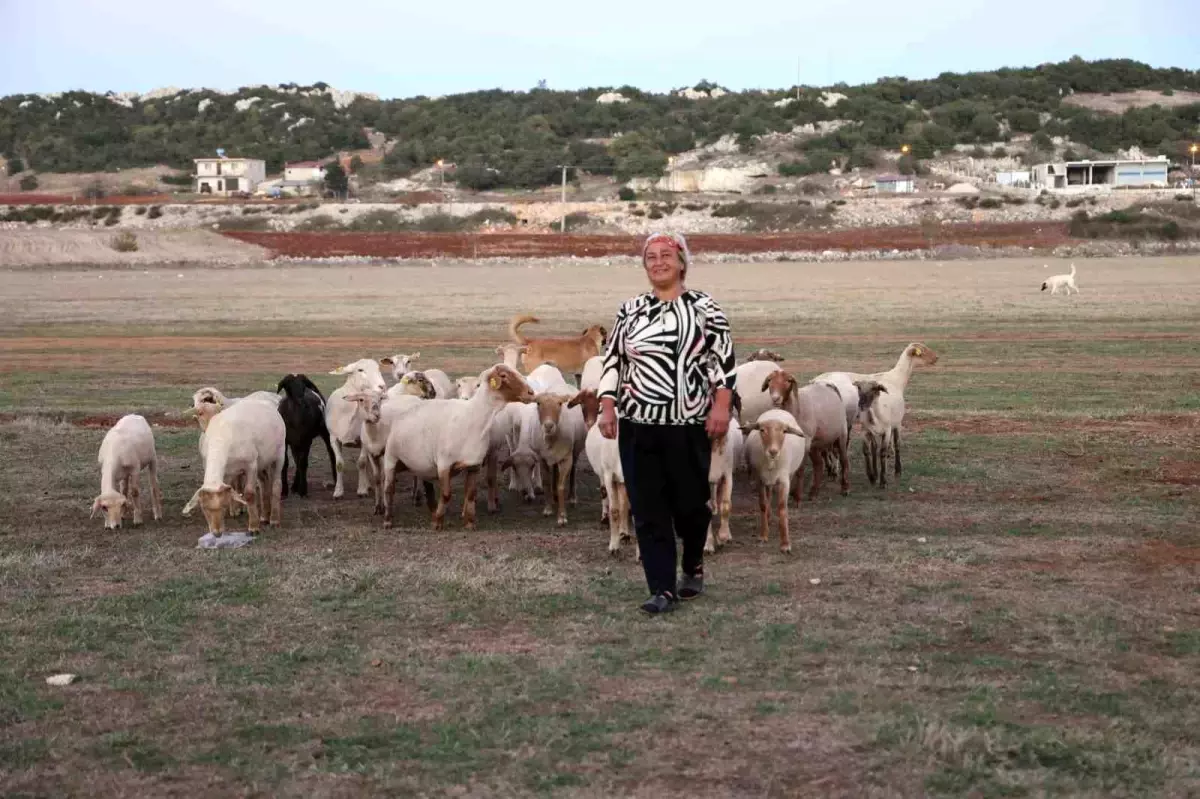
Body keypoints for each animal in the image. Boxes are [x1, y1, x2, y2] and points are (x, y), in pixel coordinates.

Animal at [182, 398, 285, 535]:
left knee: (276, 485)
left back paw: (274, 519)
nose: (217, 533)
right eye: (204, 508)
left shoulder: (251, 465)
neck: (220, 441)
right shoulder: (226, 472)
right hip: (262, 460)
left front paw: (253, 527)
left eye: (224, 505)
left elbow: (250, 494)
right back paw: (264, 516)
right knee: (264, 482)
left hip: (279, 454)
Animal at [324, 355, 388, 494]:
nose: (382, 386)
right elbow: (339, 464)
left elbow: (362, 463)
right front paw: (338, 491)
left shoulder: (363, 441)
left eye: (378, 368)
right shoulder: (333, 438)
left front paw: (362, 489)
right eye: (360, 370)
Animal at [381, 362, 537, 527]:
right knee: (389, 489)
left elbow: (471, 493)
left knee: (428, 487)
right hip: (391, 458)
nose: (531, 392)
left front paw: (469, 523)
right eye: (503, 375)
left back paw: (431, 510)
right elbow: (446, 494)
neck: (473, 417)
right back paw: (387, 520)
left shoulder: (473, 465)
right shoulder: (444, 464)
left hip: (422, 465)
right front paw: (438, 523)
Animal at [744, 407, 811, 551]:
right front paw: (763, 535)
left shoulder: (784, 481)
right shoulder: (759, 480)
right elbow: (763, 505)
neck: (772, 462)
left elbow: (782, 508)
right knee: (768, 495)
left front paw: (785, 543)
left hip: (790, 473)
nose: (773, 451)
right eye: (762, 430)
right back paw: (768, 517)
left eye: (784, 431)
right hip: (767, 481)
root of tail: (777, 409)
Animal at [811, 343, 940, 484]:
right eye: (923, 351)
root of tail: (816, 381)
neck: (896, 379)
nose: (936, 358)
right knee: (832, 448)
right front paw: (889, 455)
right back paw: (834, 470)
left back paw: (829, 469)